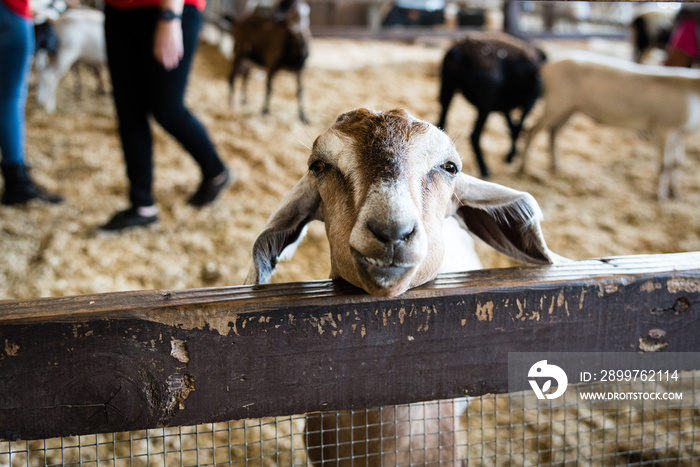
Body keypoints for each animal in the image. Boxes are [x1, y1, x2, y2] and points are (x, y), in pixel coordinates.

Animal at [438, 30, 548, 177]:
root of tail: (458, 52)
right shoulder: (527, 103)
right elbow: (517, 127)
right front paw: (511, 156)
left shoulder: (504, 104)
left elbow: (512, 127)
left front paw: (510, 156)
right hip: (485, 104)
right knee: (474, 136)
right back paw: (485, 169)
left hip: (447, 90)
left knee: (441, 123)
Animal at [516, 51, 700, 201]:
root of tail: (547, 66)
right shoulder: (664, 128)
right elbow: (665, 165)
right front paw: (660, 197)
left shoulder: (680, 132)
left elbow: (676, 162)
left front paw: (674, 193)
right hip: (557, 104)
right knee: (532, 131)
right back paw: (524, 168)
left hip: (569, 108)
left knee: (553, 132)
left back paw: (555, 166)